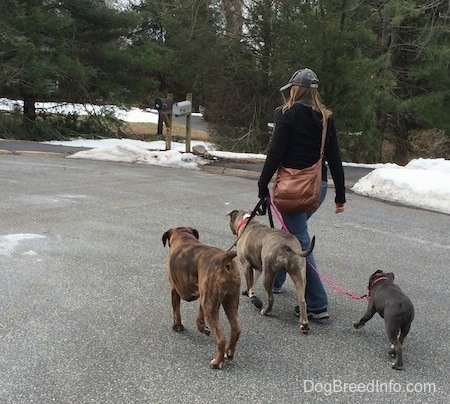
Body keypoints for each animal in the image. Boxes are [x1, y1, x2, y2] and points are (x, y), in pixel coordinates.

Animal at [163, 226, 243, 368]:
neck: (183, 236)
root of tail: (224, 258)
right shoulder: (203, 296)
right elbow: (199, 316)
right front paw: (202, 327)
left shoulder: (174, 290)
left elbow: (176, 310)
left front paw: (177, 326)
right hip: (229, 302)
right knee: (236, 330)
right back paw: (229, 352)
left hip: (211, 308)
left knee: (221, 339)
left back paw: (217, 362)